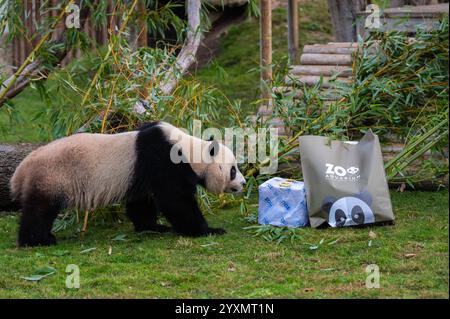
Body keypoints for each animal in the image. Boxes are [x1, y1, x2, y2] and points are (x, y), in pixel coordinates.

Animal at [10, 121, 244, 249]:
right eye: (233, 169)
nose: (242, 183)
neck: (188, 149)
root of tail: (19, 172)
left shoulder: (142, 172)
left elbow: (142, 201)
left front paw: (152, 227)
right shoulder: (162, 158)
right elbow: (175, 200)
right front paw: (208, 230)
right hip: (51, 177)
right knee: (40, 210)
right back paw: (39, 240)